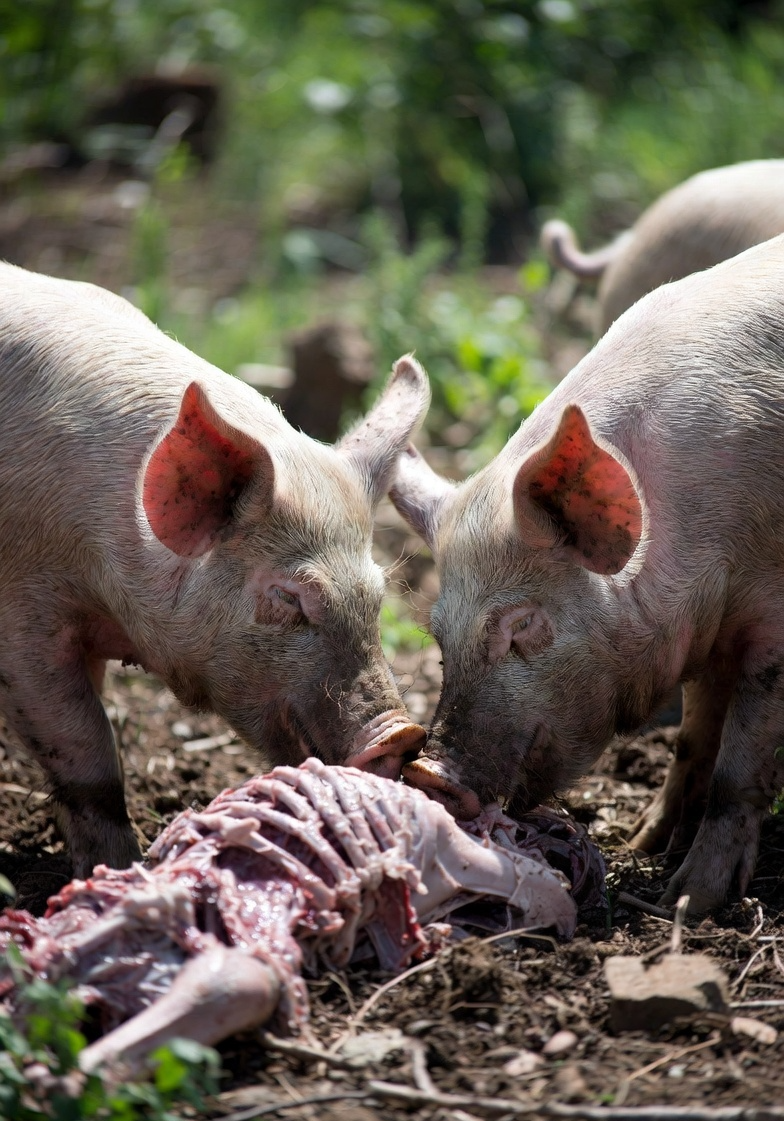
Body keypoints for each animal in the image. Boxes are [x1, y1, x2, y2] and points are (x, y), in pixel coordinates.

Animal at [0, 261, 429, 878]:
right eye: (289, 597)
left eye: (376, 596)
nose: (402, 732)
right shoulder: (26, 612)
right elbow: (88, 754)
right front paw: (124, 869)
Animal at [391, 233, 784, 915]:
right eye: (439, 638)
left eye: (523, 626)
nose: (426, 773)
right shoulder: (708, 630)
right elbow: (694, 736)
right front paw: (644, 840)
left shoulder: (770, 625)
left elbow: (737, 769)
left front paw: (687, 900)